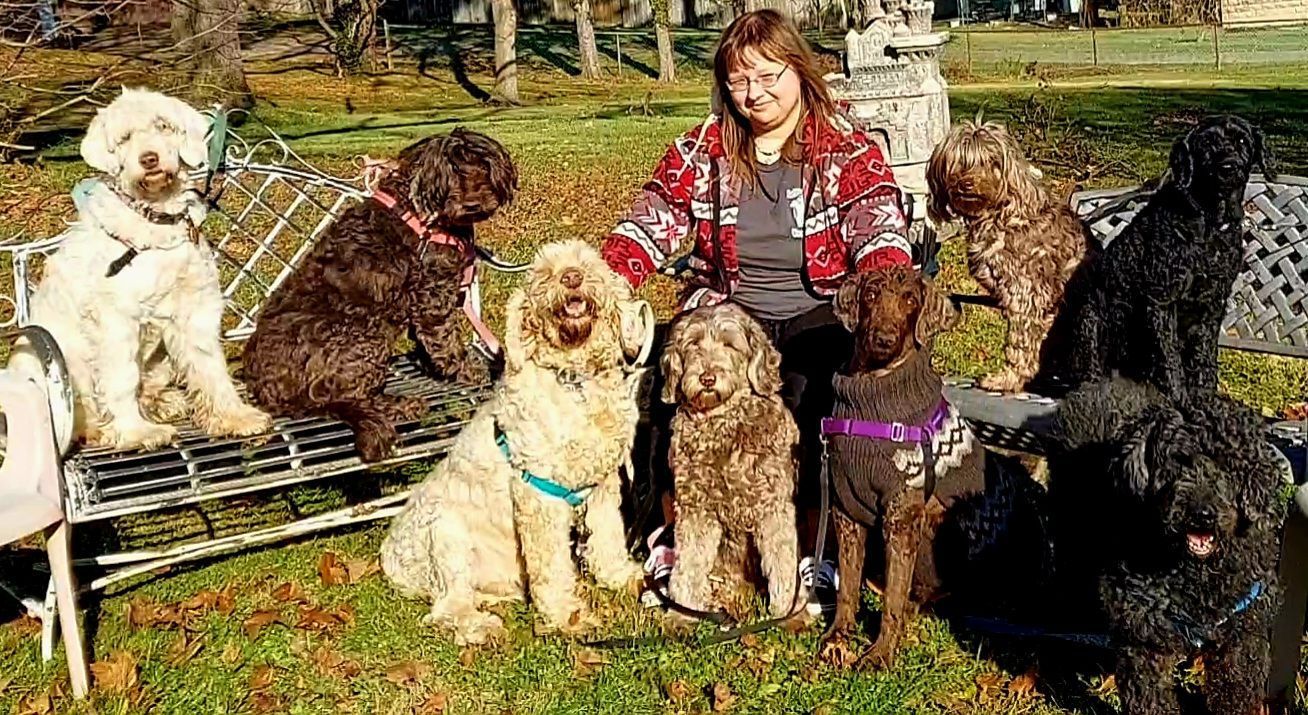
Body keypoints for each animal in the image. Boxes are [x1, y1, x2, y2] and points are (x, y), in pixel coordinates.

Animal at [9, 88, 270, 447]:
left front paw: (235, 416)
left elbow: (210, 367)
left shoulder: (196, 308)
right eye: (125, 137)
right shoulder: (116, 319)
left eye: (163, 125)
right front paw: (137, 431)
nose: (149, 159)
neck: (156, 221)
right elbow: (121, 379)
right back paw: (99, 427)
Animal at [240, 128, 515, 462]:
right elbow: (446, 341)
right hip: (364, 337)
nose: (473, 204)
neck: (420, 210)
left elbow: (426, 341)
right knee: (347, 398)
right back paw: (399, 405)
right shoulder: (433, 293)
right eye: (450, 174)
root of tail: (264, 390)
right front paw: (469, 371)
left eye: (482, 167)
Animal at [381, 241, 654, 648]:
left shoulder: (603, 484)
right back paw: (480, 627)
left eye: (588, 264)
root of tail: (390, 559)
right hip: (446, 534)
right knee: (447, 607)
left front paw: (620, 576)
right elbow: (551, 564)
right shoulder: (540, 494)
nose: (571, 277)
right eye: (543, 273)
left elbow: (608, 536)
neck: (575, 382)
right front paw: (565, 615)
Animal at [1046, 376, 1281, 711]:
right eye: (1179, 461)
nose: (1202, 515)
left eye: (1227, 465)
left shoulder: (1241, 635)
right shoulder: (1144, 639)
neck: (1195, 576)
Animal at [1062, 115, 1276, 399]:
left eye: (1242, 140)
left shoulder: (1212, 305)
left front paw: (1204, 397)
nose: (1228, 167)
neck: (1209, 224)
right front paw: (1178, 397)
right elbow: (1169, 359)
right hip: (1091, 321)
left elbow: (1204, 358)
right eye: (1207, 142)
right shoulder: (1162, 301)